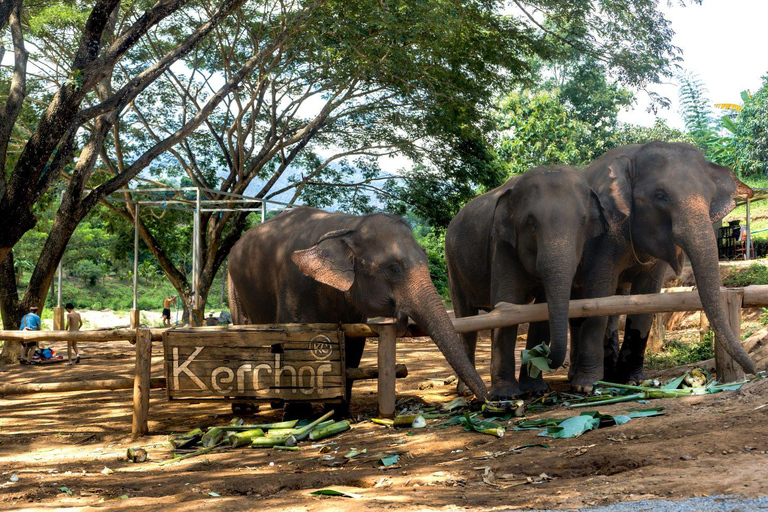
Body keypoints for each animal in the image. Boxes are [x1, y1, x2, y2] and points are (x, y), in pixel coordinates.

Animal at [228, 206, 488, 414]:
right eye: (393, 268)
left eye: (425, 257)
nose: (489, 402)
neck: (348, 227)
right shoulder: (294, 285)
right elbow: (292, 344)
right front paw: (299, 418)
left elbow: (352, 346)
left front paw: (339, 413)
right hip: (233, 286)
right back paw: (246, 408)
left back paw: (275, 403)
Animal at [444, 167, 608, 400]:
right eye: (530, 223)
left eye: (584, 220)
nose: (545, 354)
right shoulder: (502, 244)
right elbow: (506, 303)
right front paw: (505, 395)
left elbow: (541, 312)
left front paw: (534, 389)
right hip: (453, 265)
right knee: (466, 319)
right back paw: (465, 390)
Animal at [568, 141, 756, 392]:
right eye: (660, 196)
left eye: (710, 195)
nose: (752, 371)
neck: (634, 155)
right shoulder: (602, 236)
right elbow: (598, 294)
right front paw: (586, 386)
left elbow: (645, 297)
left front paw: (636, 380)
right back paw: (577, 377)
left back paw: (610, 376)